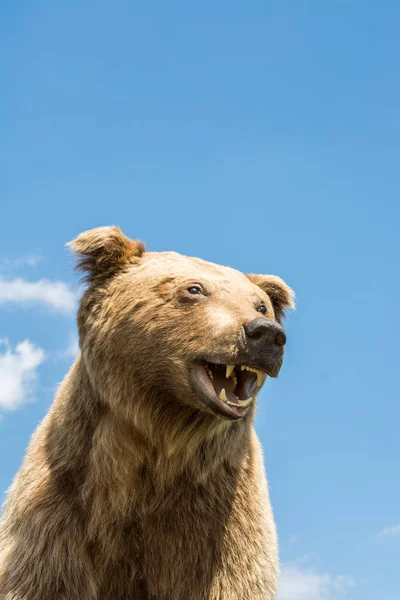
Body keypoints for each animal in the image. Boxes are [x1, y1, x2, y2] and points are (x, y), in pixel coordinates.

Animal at [0, 227, 294, 596]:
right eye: (194, 289)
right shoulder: (60, 504)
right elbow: (44, 576)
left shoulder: (223, 516)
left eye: (261, 304)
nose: (266, 334)